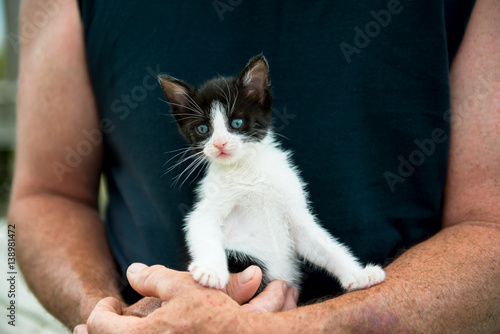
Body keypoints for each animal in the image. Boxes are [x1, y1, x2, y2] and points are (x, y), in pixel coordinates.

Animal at [158, 55, 384, 292]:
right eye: (203, 129)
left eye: (236, 123)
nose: (220, 143)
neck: (248, 171)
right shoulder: (208, 206)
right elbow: (201, 225)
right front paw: (210, 270)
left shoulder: (293, 208)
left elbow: (323, 245)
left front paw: (359, 275)